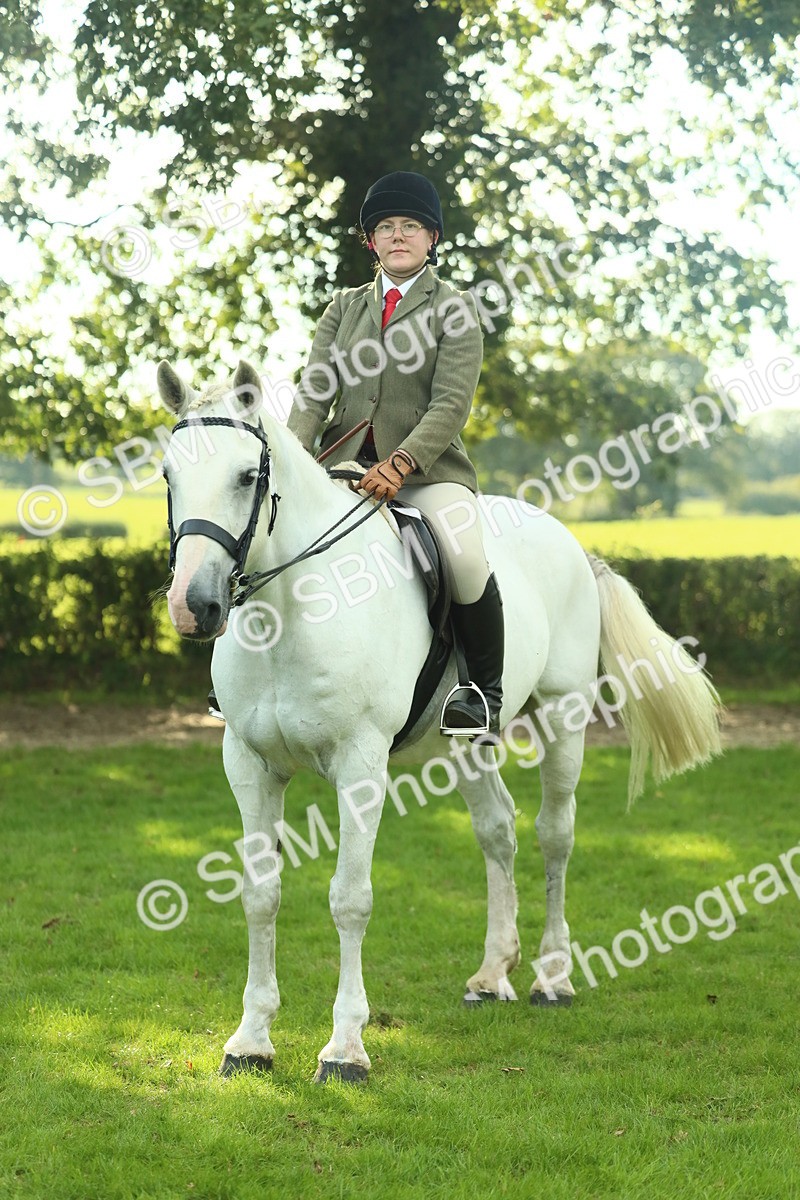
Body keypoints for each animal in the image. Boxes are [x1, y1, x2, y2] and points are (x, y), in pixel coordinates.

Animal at [157, 358, 721, 1083]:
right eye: (168, 477)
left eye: (247, 477)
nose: (193, 607)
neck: (293, 609)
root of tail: (570, 542)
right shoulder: (249, 765)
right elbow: (260, 894)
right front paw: (250, 1041)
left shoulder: (360, 765)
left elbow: (350, 897)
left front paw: (345, 1049)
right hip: (469, 740)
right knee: (498, 830)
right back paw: (491, 974)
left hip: (564, 717)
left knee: (555, 834)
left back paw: (552, 978)